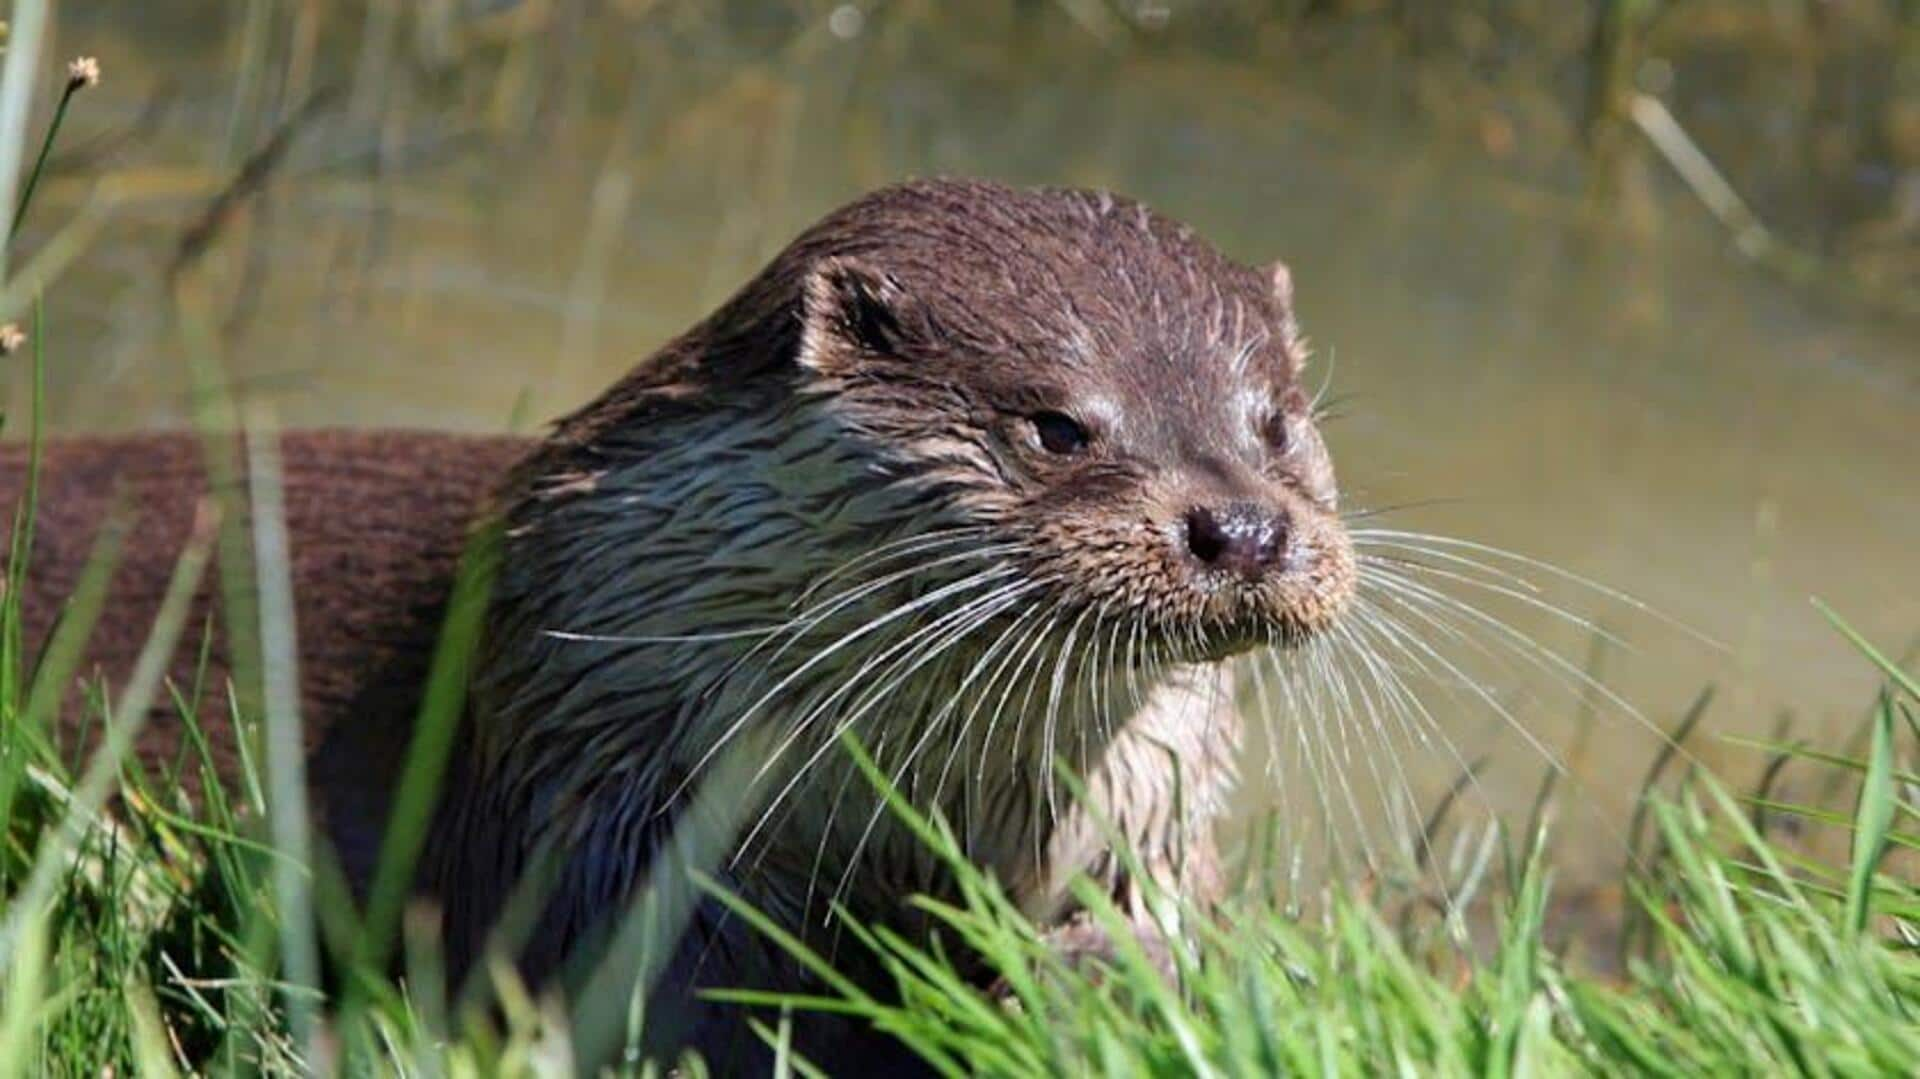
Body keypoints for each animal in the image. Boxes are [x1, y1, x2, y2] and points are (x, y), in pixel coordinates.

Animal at [3, 178, 1351, 1067]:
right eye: (1059, 426)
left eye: (1276, 421)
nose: (1243, 528)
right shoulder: (592, 791)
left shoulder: (1147, 806)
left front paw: (1107, 985)